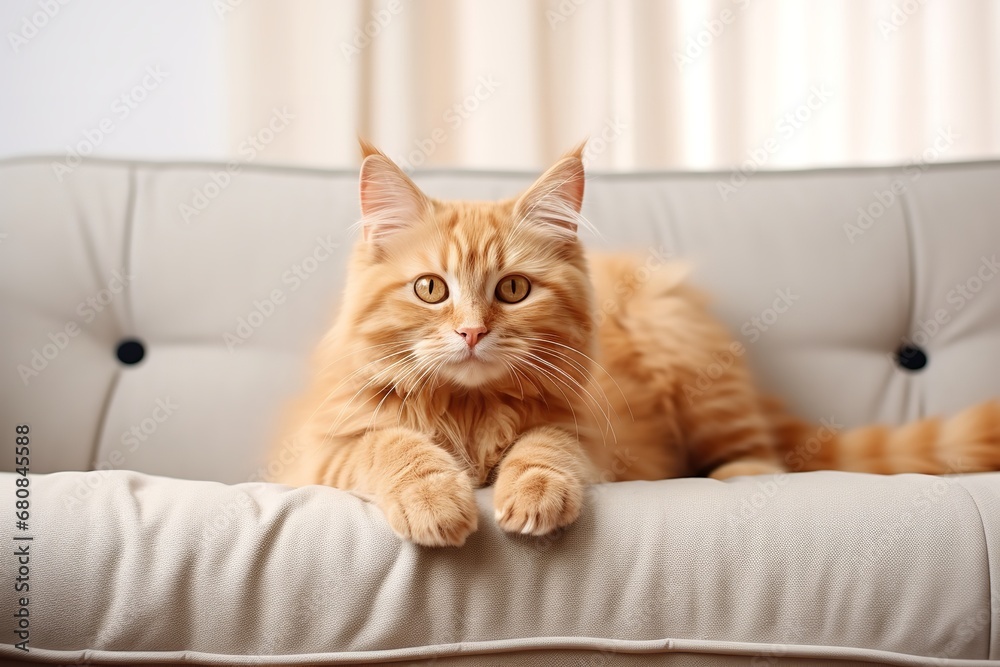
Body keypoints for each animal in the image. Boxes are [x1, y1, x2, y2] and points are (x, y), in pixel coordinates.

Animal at [272, 144, 1000, 544]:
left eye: (512, 289)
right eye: (430, 288)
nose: (472, 331)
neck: (471, 411)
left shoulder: (587, 433)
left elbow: (545, 449)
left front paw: (531, 495)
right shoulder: (322, 448)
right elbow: (393, 446)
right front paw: (435, 501)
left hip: (680, 345)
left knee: (758, 454)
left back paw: (734, 478)